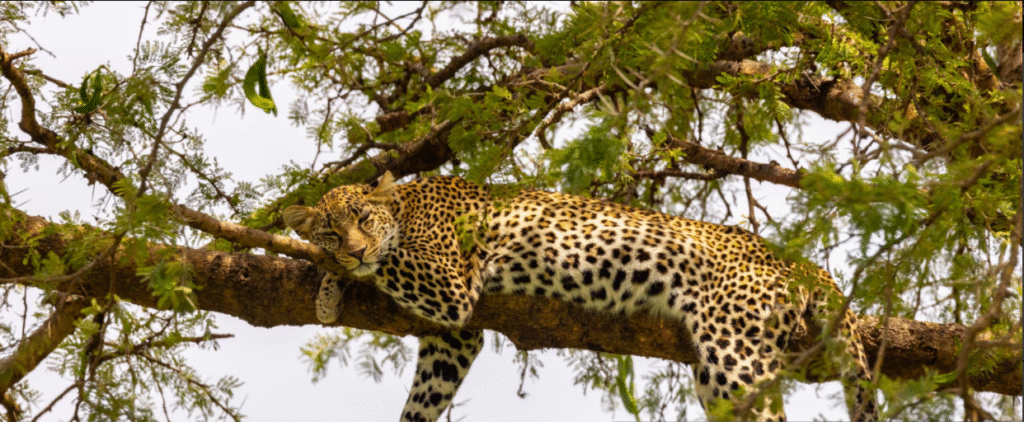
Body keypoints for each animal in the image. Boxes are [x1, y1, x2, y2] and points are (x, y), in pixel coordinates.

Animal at [283, 171, 878, 422]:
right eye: (333, 230)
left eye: (362, 219)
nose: (352, 249)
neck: (405, 206)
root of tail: (797, 259)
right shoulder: (455, 336)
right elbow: (421, 402)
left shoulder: (449, 284)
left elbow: (387, 263)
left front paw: (330, 280)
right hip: (719, 371)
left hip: (734, 349)